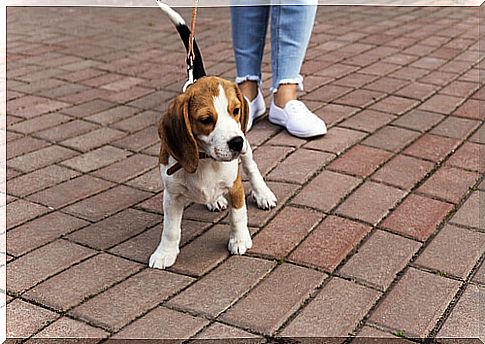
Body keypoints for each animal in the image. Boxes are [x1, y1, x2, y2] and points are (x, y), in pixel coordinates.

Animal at [147, 4, 276, 272]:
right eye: (206, 119)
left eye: (235, 110)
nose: (236, 142)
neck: (205, 159)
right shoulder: (171, 195)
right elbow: (170, 229)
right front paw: (165, 253)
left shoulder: (235, 186)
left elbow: (238, 216)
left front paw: (240, 240)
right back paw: (214, 201)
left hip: (247, 154)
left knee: (253, 169)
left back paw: (263, 194)